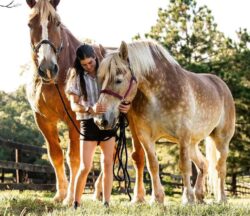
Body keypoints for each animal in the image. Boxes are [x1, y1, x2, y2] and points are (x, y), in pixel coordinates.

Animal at [24, 0, 104, 203]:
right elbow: (56, 155)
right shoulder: (43, 120)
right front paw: (60, 194)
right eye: (30, 24)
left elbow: (74, 157)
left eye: (57, 23)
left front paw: (70, 198)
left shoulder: (75, 119)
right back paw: (98, 192)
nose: (47, 68)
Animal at [94, 40, 235, 204]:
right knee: (204, 165)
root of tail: (222, 85)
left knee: (220, 168)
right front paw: (157, 198)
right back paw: (199, 196)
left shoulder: (183, 136)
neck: (157, 95)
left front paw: (187, 199)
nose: (100, 120)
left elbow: (184, 166)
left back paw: (221, 199)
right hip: (192, 144)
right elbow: (153, 165)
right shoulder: (145, 137)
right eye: (100, 79)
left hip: (221, 141)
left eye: (118, 80)